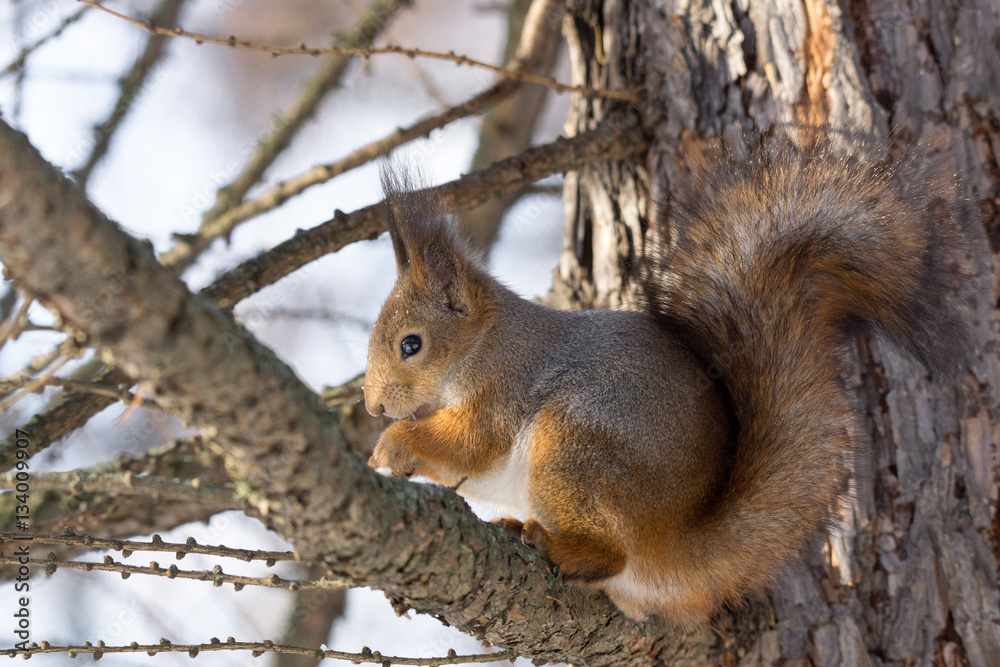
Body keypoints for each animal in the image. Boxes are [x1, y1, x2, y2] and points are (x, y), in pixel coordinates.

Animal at [362, 139, 964, 622]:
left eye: (411, 344)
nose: (372, 407)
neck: (481, 344)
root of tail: (675, 539)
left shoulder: (504, 386)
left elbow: (471, 444)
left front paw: (393, 444)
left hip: (574, 447)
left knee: (610, 553)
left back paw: (554, 545)